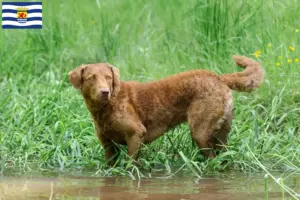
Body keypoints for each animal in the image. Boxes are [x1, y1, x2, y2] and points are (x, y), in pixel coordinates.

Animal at [69, 55, 264, 165]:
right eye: (91, 78)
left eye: (108, 77)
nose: (105, 92)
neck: (105, 108)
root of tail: (218, 77)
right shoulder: (108, 145)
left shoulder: (136, 134)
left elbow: (131, 165)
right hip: (222, 133)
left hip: (200, 131)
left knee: (211, 157)